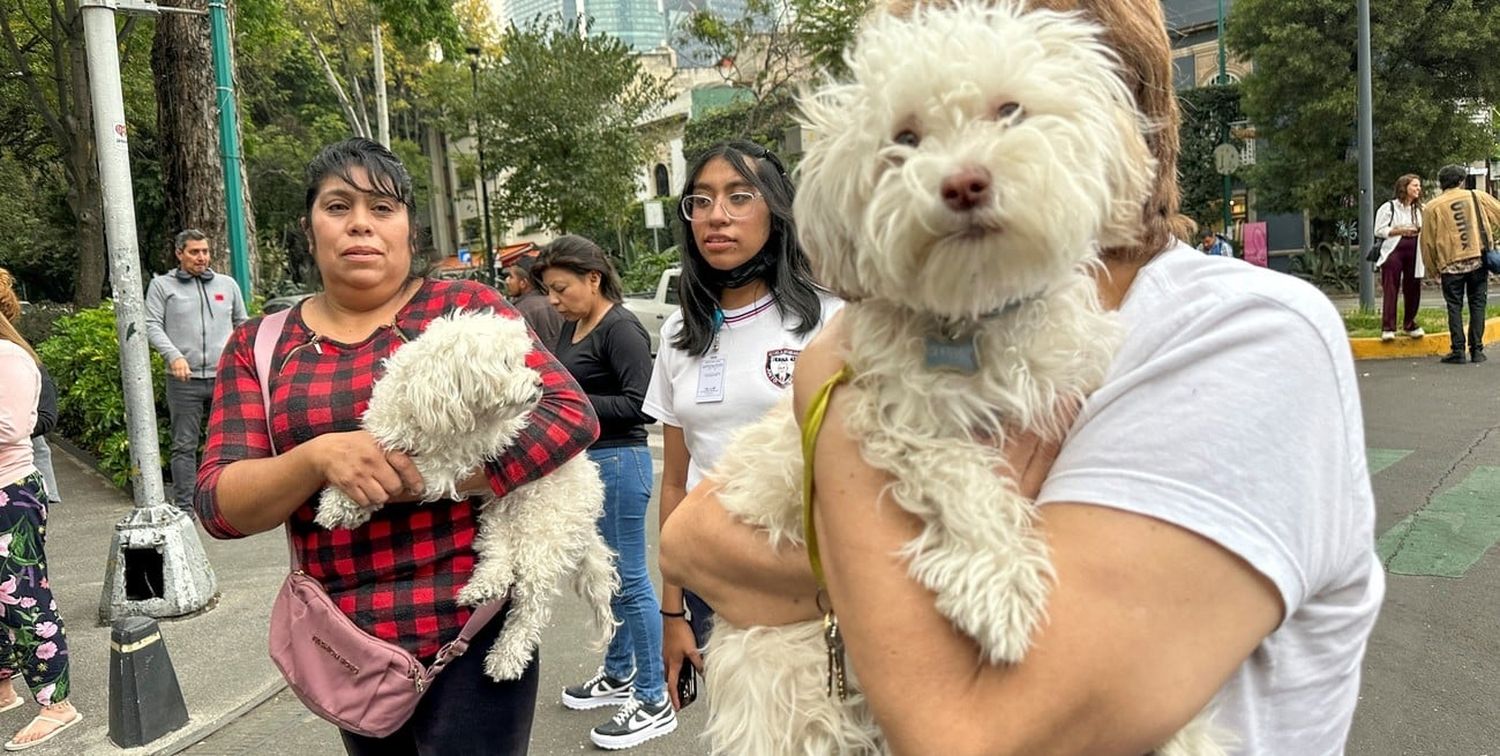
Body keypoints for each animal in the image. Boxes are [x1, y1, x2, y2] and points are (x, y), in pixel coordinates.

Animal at [313, 310, 618, 681]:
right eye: (507, 363)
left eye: (521, 359)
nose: (539, 383)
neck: (429, 407)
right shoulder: (388, 428)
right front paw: (337, 503)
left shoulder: (445, 467)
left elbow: (409, 474)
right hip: (500, 510)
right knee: (499, 555)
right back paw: (484, 586)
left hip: (544, 529)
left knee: (531, 603)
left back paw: (507, 655)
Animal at [696, 2, 1224, 753]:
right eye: (905, 138)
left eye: (1010, 110)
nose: (963, 182)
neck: (976, 315)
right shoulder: (891, 413)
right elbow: (960, 475)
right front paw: (999, 585)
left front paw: (1192, 737)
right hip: (796, 686)